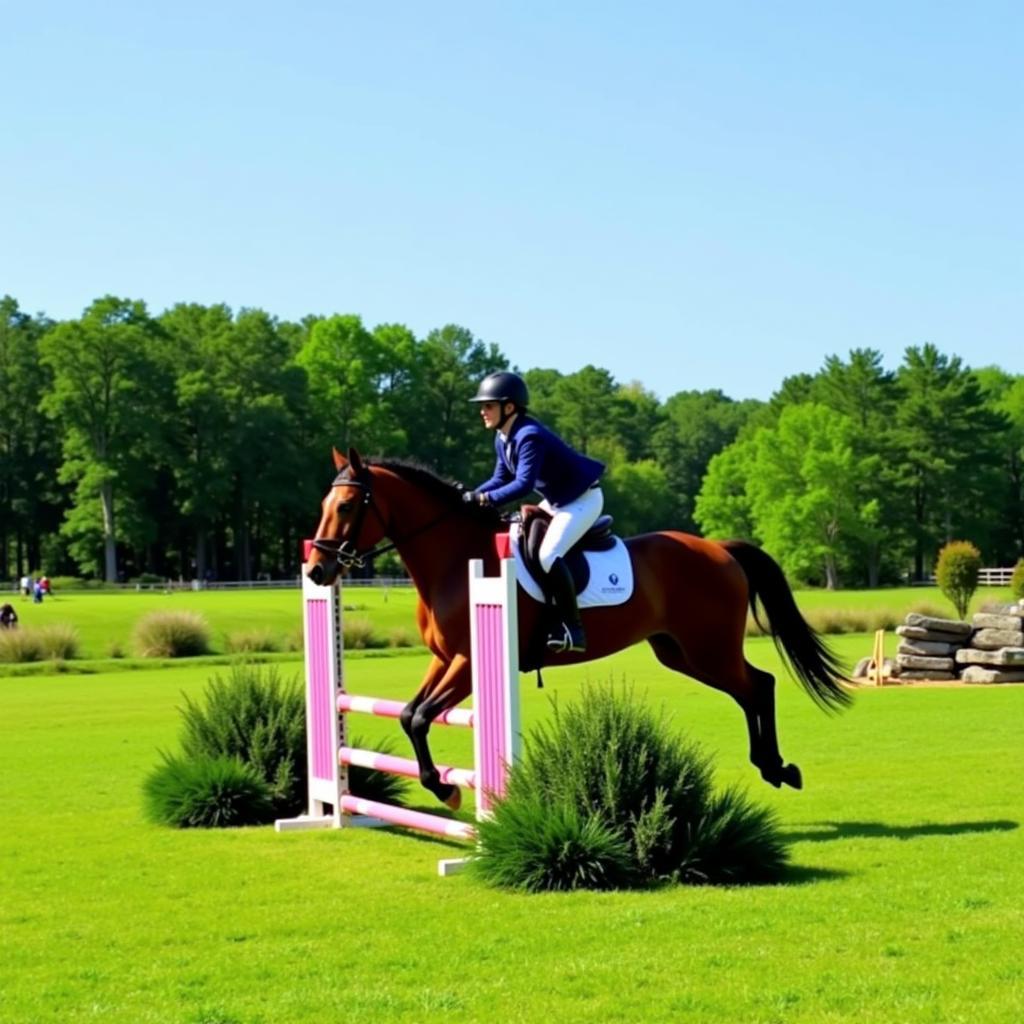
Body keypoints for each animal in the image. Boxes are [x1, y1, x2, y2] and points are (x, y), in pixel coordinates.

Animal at [307, 448, 851, 806]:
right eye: (324, 506)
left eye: (348, 507)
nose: (316, 570)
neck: (456, 559)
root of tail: (719, 549)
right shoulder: (445, 659)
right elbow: (408, 715)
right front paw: (441, 785)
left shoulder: (467, 661)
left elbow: (420, 718)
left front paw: (446, 790)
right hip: (681, 653)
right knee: (748, 690)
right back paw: (772, 767)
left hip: (708, 649)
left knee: (760, 685)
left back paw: (779, 768)